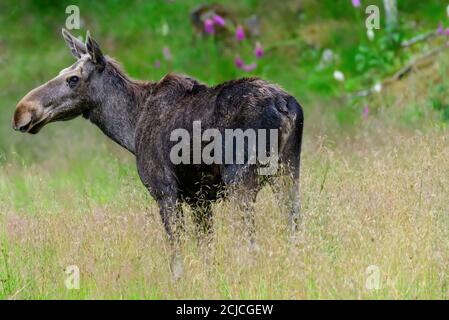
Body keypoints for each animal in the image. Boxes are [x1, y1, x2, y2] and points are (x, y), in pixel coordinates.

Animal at [11, 30, 304, 278]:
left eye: (73, 79)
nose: (21, 111)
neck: (131, 126)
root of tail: (285, 106)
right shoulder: (199, 199)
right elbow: (205, 253)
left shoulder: (164, 190)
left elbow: (177, 257)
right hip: (288, 174)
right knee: (295, 231)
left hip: (241, 181)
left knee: (251, 246)